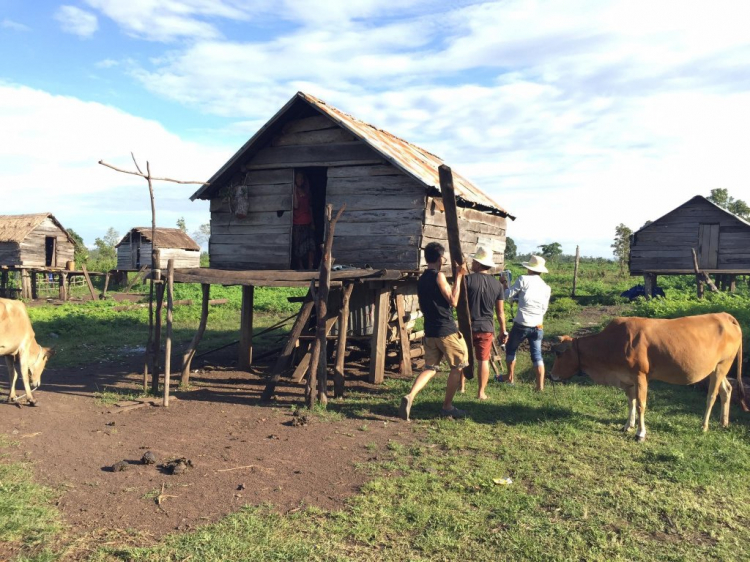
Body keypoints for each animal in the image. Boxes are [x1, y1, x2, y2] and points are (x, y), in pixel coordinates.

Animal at [552, 312, 748, 440]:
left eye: (559, 354)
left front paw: (640, 433)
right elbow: (630, 402)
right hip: (715, 368)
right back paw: (724, 422)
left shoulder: (640, 376)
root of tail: (725, 316)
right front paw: (628, 425)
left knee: (712, 395)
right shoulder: (627, 378)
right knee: (727, 389)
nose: (552, 375)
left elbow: (640, 405)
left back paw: (704, 426)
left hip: (723, 364)